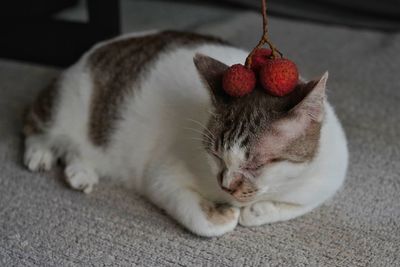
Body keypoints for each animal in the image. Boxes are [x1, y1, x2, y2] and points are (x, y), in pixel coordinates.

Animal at [22, 30, 346, 238]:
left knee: (75, 149)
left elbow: (293, 206)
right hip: (64, 106)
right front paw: (224, 215)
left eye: (256, 164)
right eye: (215, 155)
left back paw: (81, 172)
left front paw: (258, 211)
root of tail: (90, 53)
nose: (226, 185)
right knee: (36, 124)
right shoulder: (163, 174)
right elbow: (200, 220)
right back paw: (39, 154)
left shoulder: (325, 181)